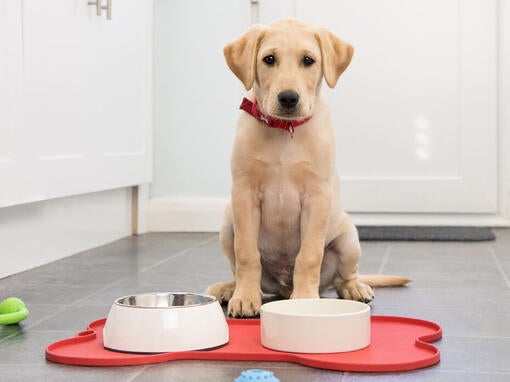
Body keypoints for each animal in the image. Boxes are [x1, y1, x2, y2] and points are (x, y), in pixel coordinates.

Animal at [205, 18, 408, 316]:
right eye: (269, 59)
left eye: (308, 60)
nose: (289, 98)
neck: (284, 130)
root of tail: (282, 286)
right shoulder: (244, 193)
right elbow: (247, 254)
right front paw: (245, 297)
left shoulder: (317, 197)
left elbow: (309, 255)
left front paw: (304, 300)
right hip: (227, 226)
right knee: (239, 267)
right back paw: (229, 288)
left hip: (349, 239)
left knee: (344, 276)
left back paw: (354, 288)